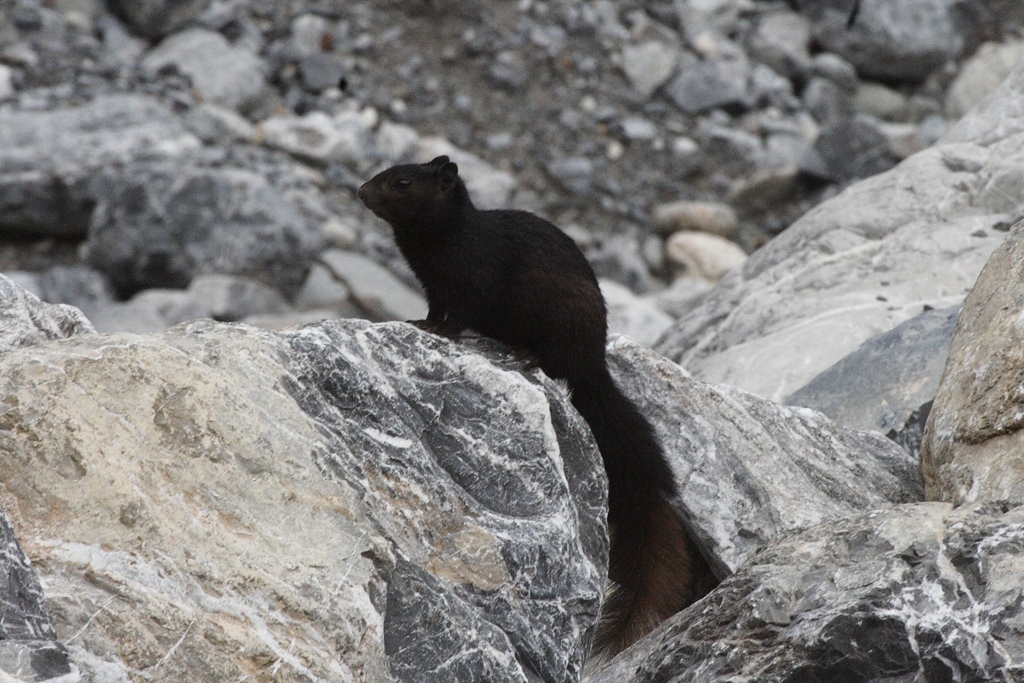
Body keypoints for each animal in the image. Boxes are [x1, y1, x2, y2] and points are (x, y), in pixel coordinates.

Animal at [358, 155, 714, 657]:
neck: (436, 245)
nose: (360, 191)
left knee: (553, 360)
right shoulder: (434, 286)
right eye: (385, 170)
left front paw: (439, 332)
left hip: (560, 320)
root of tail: (592, 364)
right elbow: (433, 309)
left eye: (402, 182)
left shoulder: (469, 283)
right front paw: (420, 323)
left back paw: (525, 354)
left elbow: (458, 316)